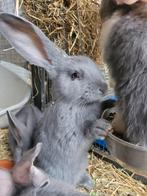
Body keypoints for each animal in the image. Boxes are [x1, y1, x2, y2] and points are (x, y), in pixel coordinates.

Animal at [0, 12, 111, 190]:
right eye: (75, 75)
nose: (104, 87)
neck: (76, 104)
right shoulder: (68, 130)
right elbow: (85, 130)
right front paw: (100, 127)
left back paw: (89, 184)